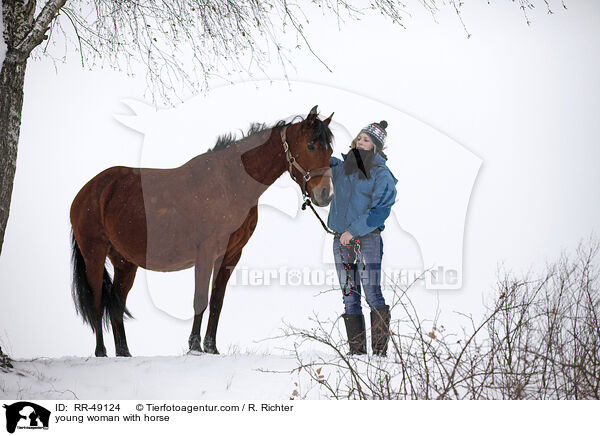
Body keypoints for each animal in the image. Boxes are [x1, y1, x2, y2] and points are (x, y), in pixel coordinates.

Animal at [71, 106, 336, 358]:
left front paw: (211, 347)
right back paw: (101, 352)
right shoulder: (206, 253)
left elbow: (216, 301)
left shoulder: (230, 256)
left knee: (116, 303)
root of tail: (87, 191)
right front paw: (195, 346)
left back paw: (124, 352)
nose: (326, 194)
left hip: (125, 262)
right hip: (94, 255)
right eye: (311, 145)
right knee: (97, 301)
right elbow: (200, 299)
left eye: (330, 151)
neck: (231, 183)